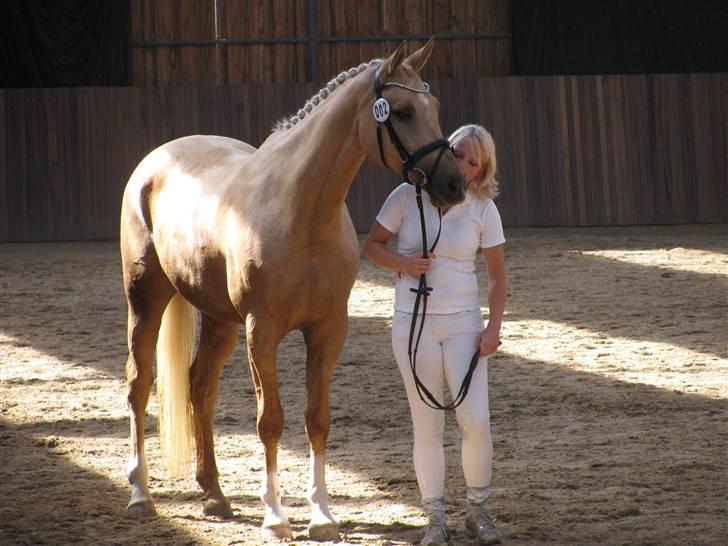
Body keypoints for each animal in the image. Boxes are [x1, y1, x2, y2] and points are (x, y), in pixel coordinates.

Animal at [117, 40, 464, 536]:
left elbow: (316, 420)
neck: (302, 213)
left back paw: (214, 495)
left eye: (432, 107)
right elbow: (270, 421)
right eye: (401, 112)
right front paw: (276, 517)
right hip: (146, 298)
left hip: (219, 319)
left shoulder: (328, 330)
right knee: (139, 383)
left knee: (200, 386)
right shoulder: (261, 332)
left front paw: (321, 515)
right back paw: (140, 494)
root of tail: (158, 159)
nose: (454, 184)